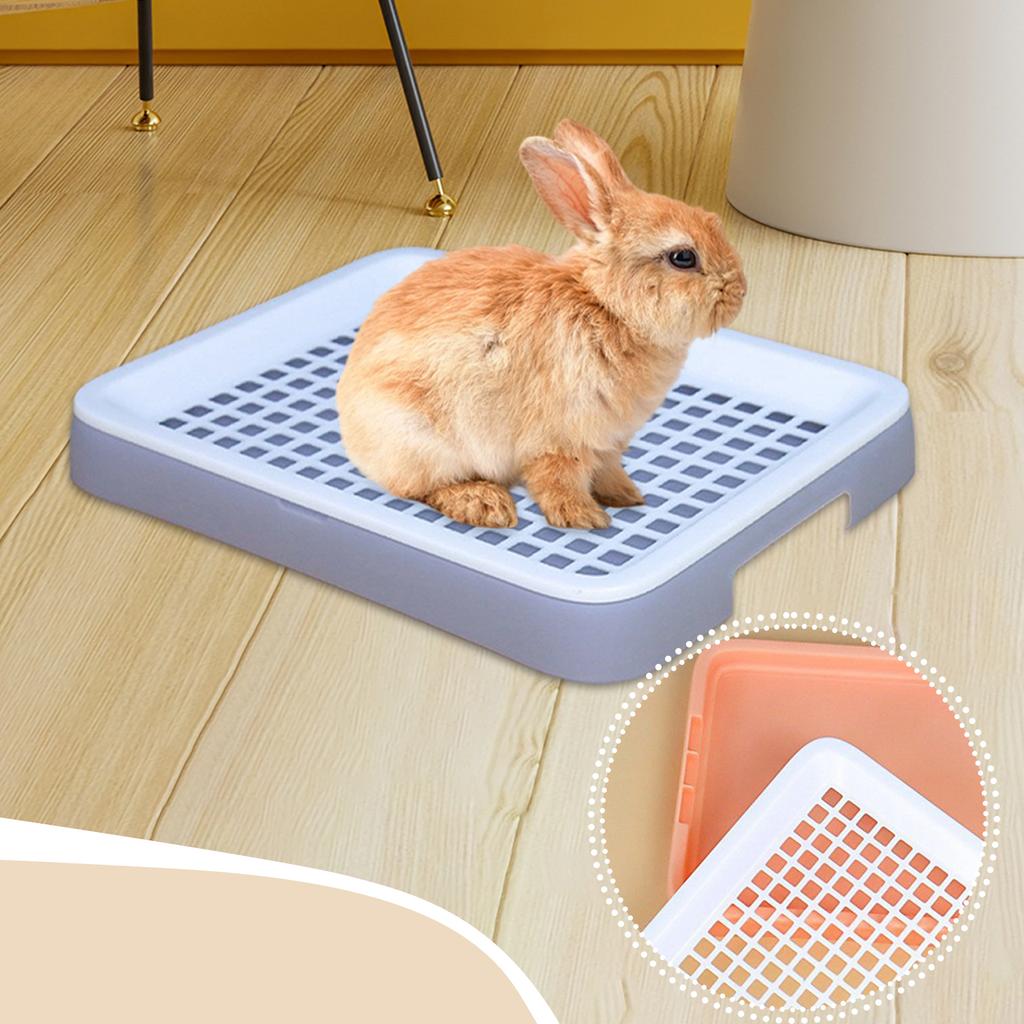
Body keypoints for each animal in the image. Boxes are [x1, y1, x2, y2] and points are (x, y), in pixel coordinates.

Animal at [337, 120, 746, 530]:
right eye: (683, 257)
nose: (740, 291)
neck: (607, 306)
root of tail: (351, 430)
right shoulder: (560, 440)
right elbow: (559, 480)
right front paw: (586, 519)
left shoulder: (609, 443)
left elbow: (608, 470)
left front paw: (627, 498)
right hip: (424, 441)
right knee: (421, 488)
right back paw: (486, 505)